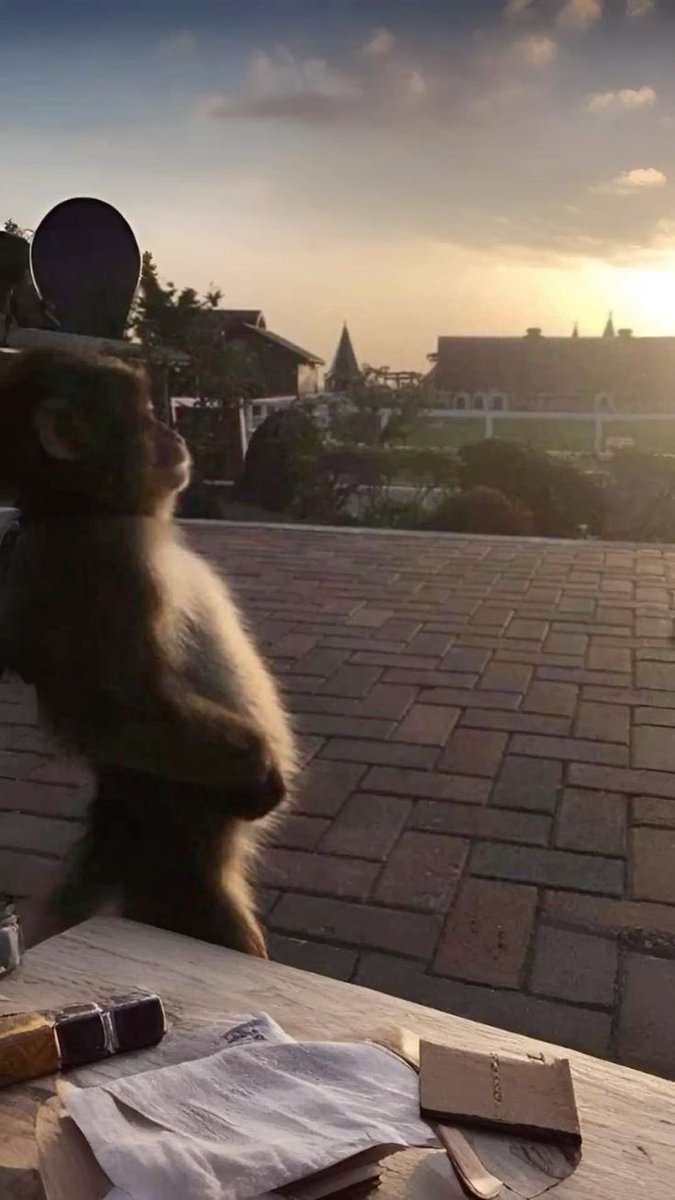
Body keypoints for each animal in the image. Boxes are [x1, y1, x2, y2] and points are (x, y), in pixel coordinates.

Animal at [0, 347, 298, 956]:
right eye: (142, 413)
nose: (174, 433)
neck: (80, 510)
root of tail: (117, 827)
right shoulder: (114, 565)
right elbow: (115, 710)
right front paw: (260, 769)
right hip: (182, 856)